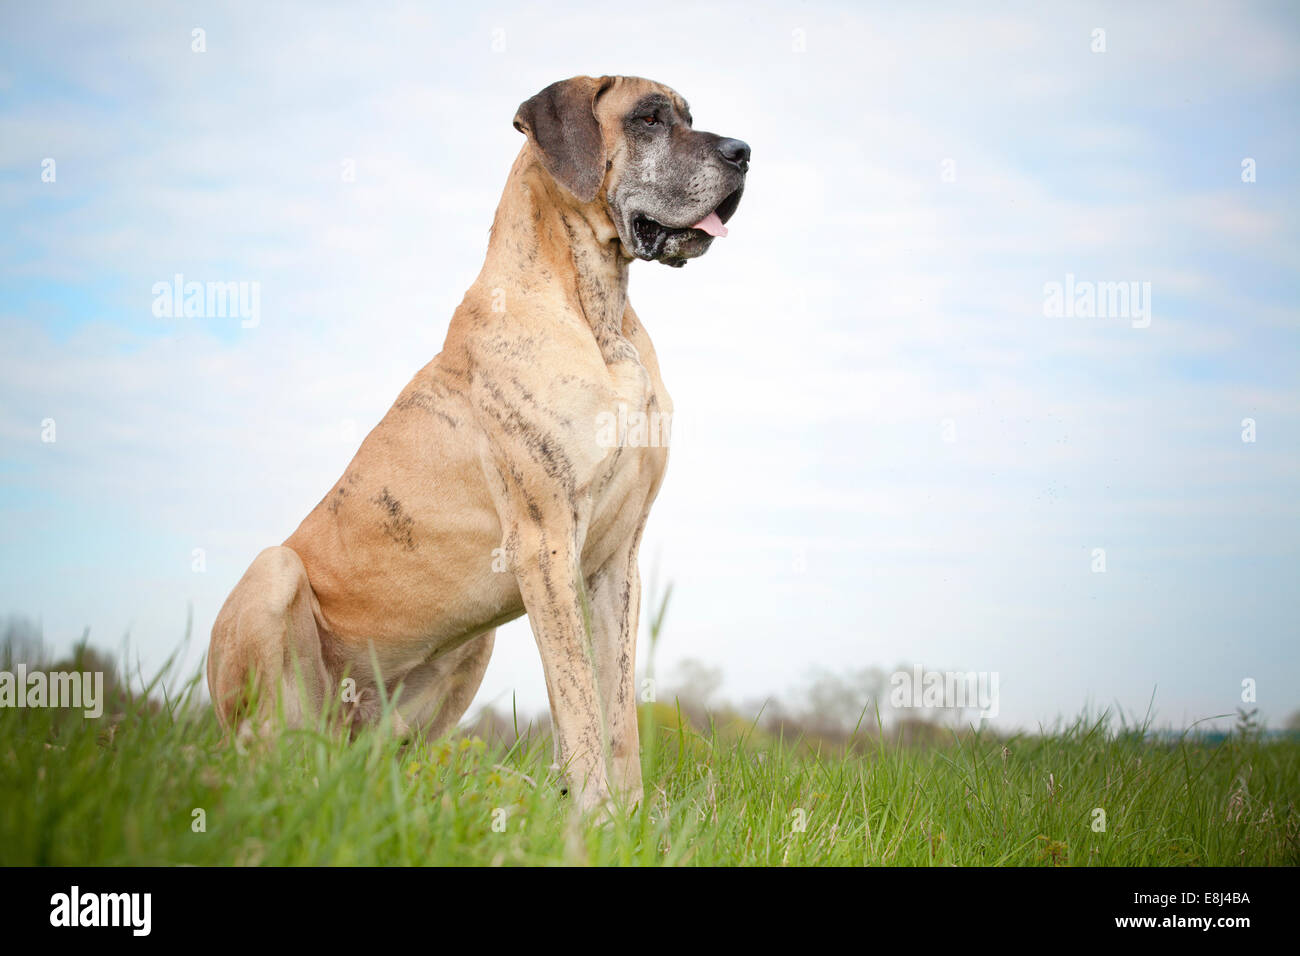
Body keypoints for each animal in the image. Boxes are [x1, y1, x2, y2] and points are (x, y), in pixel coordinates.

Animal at [205, 74, 754, 811]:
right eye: (648, 118)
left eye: (688, 116)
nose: (743, 152)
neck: (599, 311)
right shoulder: (545, 542)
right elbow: (577, 700)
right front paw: (594, 814)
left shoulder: (617, 561)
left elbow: (619, 712)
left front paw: (633, 815)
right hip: (273, 577)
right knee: (263, 756)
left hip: (466, 654)